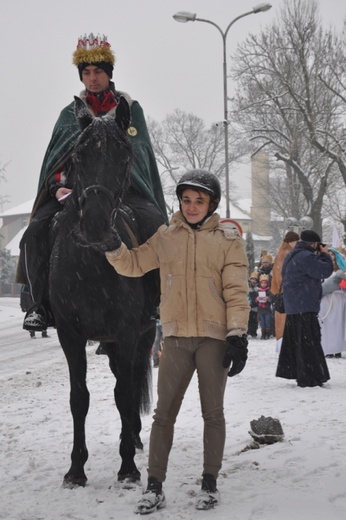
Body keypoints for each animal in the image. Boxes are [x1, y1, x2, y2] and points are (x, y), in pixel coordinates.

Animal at [49, 96, 162, 488]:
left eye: (126, 155)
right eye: (78, 155)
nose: (96, 225)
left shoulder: (127, 332)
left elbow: (125, 393)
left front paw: (127, 466)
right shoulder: (69, 334)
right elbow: (78, 398)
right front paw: (75, 469)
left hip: (143, 336)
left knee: (131, 382)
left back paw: (136, 438)